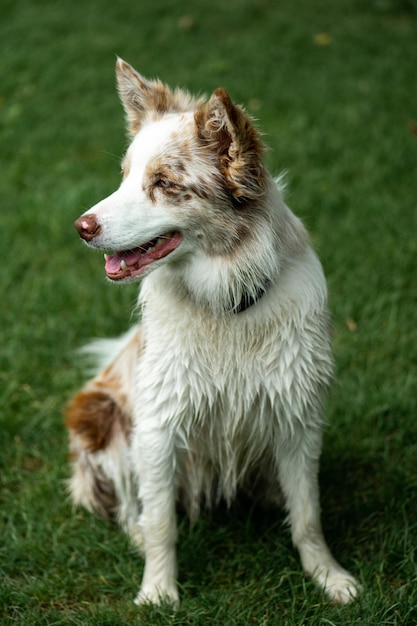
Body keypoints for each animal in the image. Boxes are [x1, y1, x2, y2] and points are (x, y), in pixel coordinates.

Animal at [66, 59, 360, 604]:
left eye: (163, 182)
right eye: (125, 177)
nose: (82, 227)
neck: (226, 304)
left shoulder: (298, 415)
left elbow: (308, 514)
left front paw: (328, 576)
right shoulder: (159, 424)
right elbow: (162, 521)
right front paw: (158, 592)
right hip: (100, 419)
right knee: (130, 506)